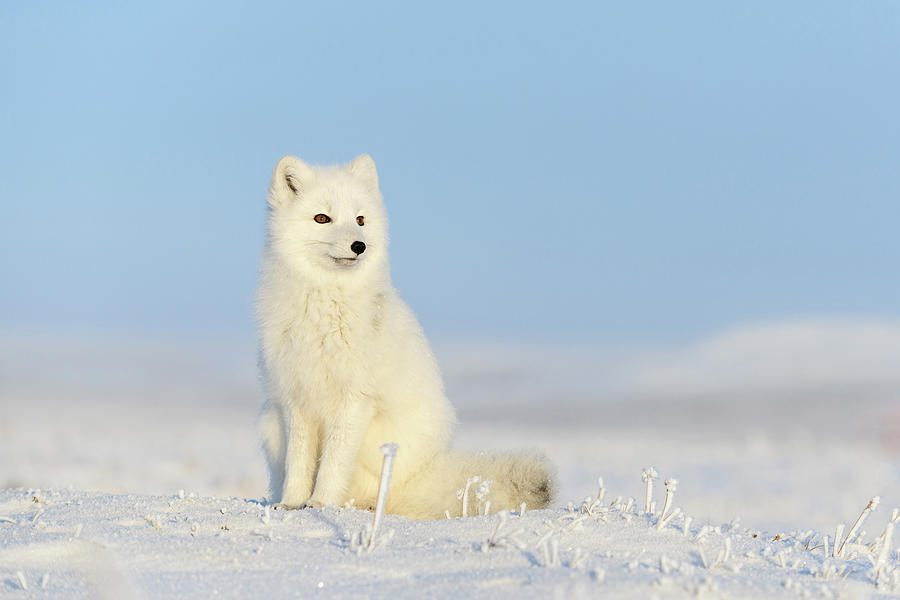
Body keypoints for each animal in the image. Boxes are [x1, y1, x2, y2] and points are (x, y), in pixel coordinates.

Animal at [256, 156, 552, 520]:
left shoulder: (355, 399)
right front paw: (292, 503)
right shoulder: (296, 398)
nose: (359, 245)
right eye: (322, 218)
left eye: (360, 220)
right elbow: (299, 463)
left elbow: (333, 463)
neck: (325, 308)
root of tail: (424, 475)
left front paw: (321, 503)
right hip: (269, 420)